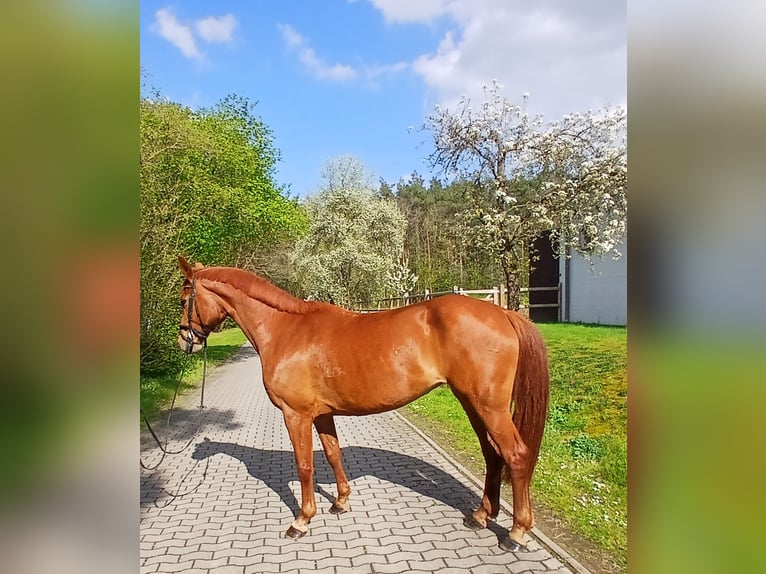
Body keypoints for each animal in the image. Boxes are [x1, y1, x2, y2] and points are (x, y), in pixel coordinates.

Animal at [176, 256, 549, 551]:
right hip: (472, 403)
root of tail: (503, 313)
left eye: (183, 299)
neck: (286, 329)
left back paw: (516, 533)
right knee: (492, 455)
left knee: (516, 455)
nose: (185, 341)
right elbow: (332, 454)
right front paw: (341, 502)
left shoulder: (296, 415)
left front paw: (302, 520)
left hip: (489, 407)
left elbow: (304, 466)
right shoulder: (322, 415)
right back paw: (481, 515)